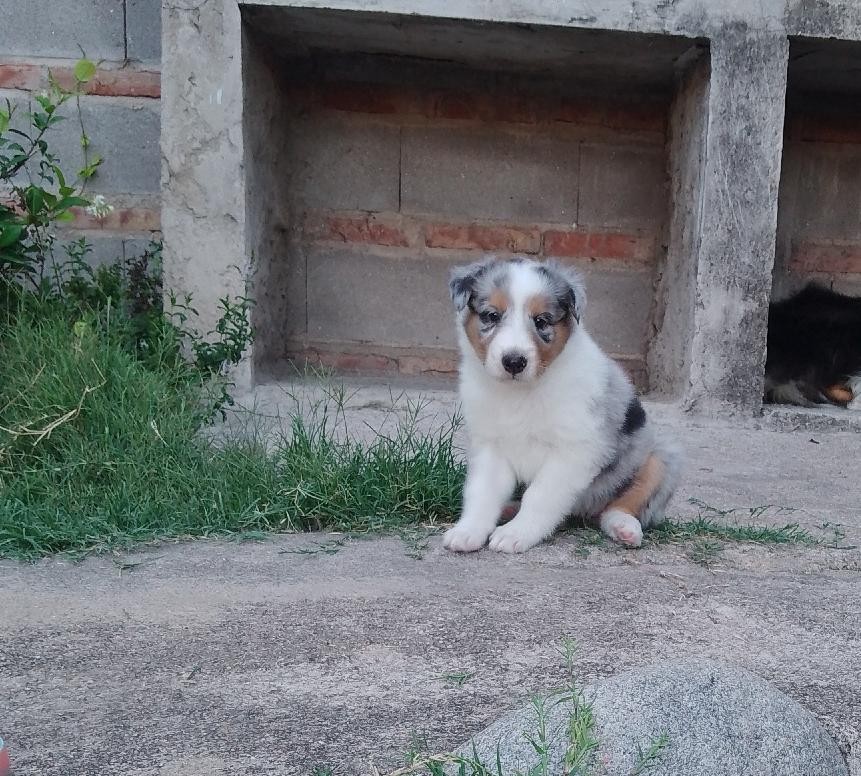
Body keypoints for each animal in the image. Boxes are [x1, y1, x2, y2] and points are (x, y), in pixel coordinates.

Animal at [443, 257, 681, 553]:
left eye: (541, 321)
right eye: (491, 316)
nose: (514, 362)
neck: (520, 393)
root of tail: (584, 511)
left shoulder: (575, 451)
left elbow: (540, 495)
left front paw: (516, 534)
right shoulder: (490, 446)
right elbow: (482, 492)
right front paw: (468, 530)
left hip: (659, 460)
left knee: (620, 507)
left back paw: (624, 527)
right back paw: (508, 510)